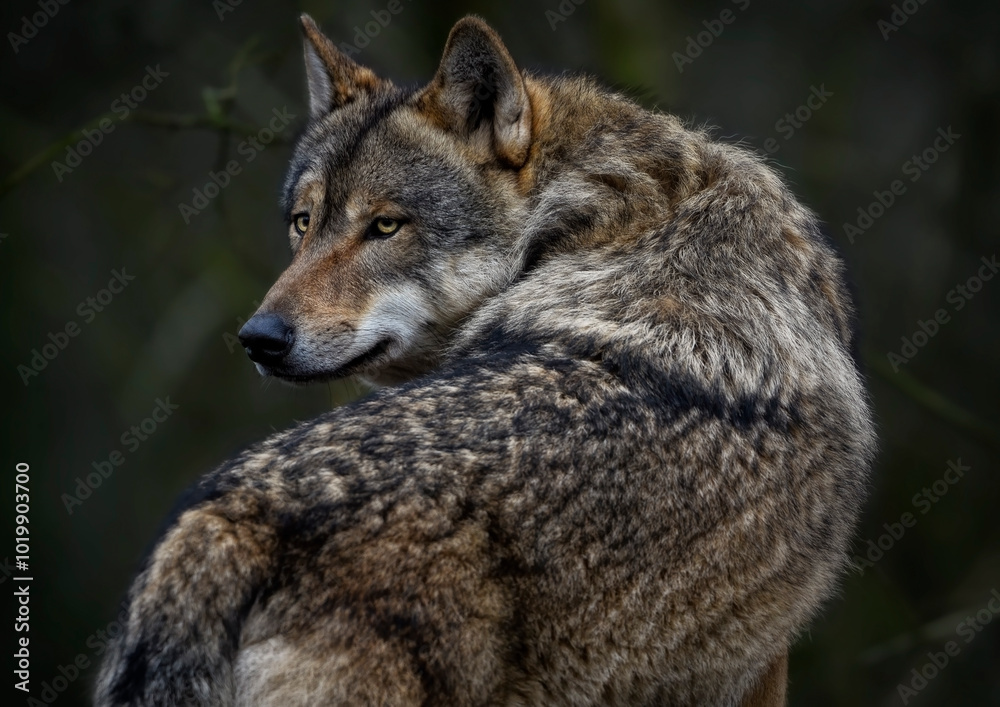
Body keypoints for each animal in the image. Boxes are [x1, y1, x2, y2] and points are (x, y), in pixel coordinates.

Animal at [95, 13, 874, 707]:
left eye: (386, 226)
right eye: (303, 223)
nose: (259, 337)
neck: (618, 209)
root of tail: (223, 523)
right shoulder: (757, 671)